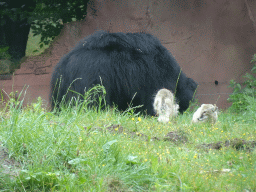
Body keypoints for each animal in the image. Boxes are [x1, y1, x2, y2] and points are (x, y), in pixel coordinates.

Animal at [50, 30, 198, 114]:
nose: (182, 111)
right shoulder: (153, 76)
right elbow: (149, 99)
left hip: (61, 85)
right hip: (89, 77)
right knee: (89, 100)